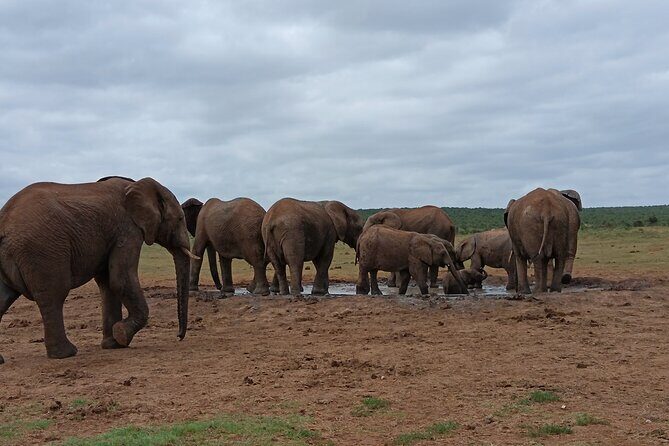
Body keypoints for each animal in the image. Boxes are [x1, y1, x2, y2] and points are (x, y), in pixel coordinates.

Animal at [0, 177, 195, 362]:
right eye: (180, 219)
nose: (178, 336)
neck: (138, 185)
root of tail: (4, 222)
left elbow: (108, 284)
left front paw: (113, 344)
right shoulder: (127, 229)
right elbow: (120, 279)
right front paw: (122, 335)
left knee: (4, 297)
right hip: (43, 250)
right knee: (54, 295)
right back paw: (66, 354)